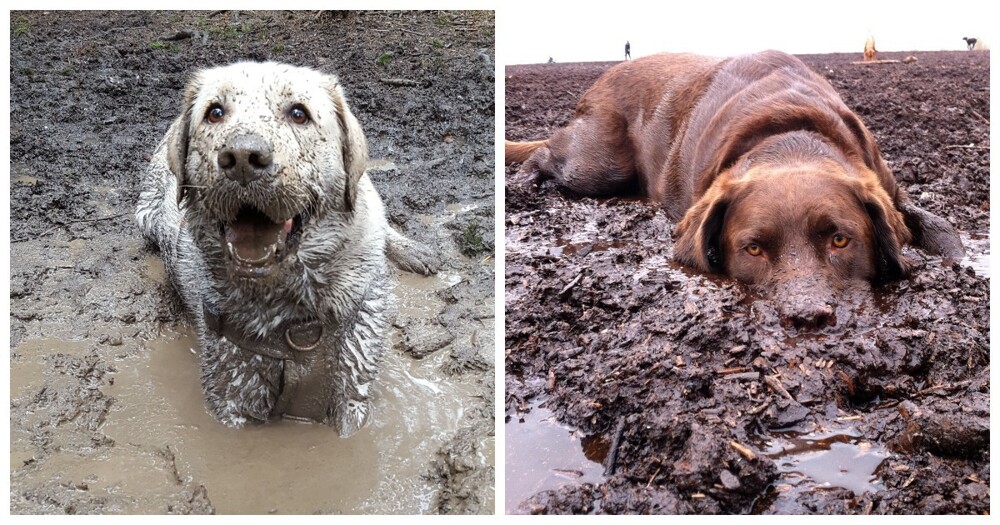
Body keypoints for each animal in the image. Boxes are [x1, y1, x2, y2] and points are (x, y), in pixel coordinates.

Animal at [135, 60, 436, 434]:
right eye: (215, 112)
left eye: (298, 113)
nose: (243, 157)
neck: (294, 317)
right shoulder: (231, 394)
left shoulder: (352, 390)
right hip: (145, 215)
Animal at [512, 50, 964, 328]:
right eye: (753, 249)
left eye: (840, 240)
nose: (807, 318)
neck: (790, 139)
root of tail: (604, 74)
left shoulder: (888, 187)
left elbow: (940, 227)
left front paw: (957, 259)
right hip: (599, 165)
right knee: (548, 152)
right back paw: (522, 183)